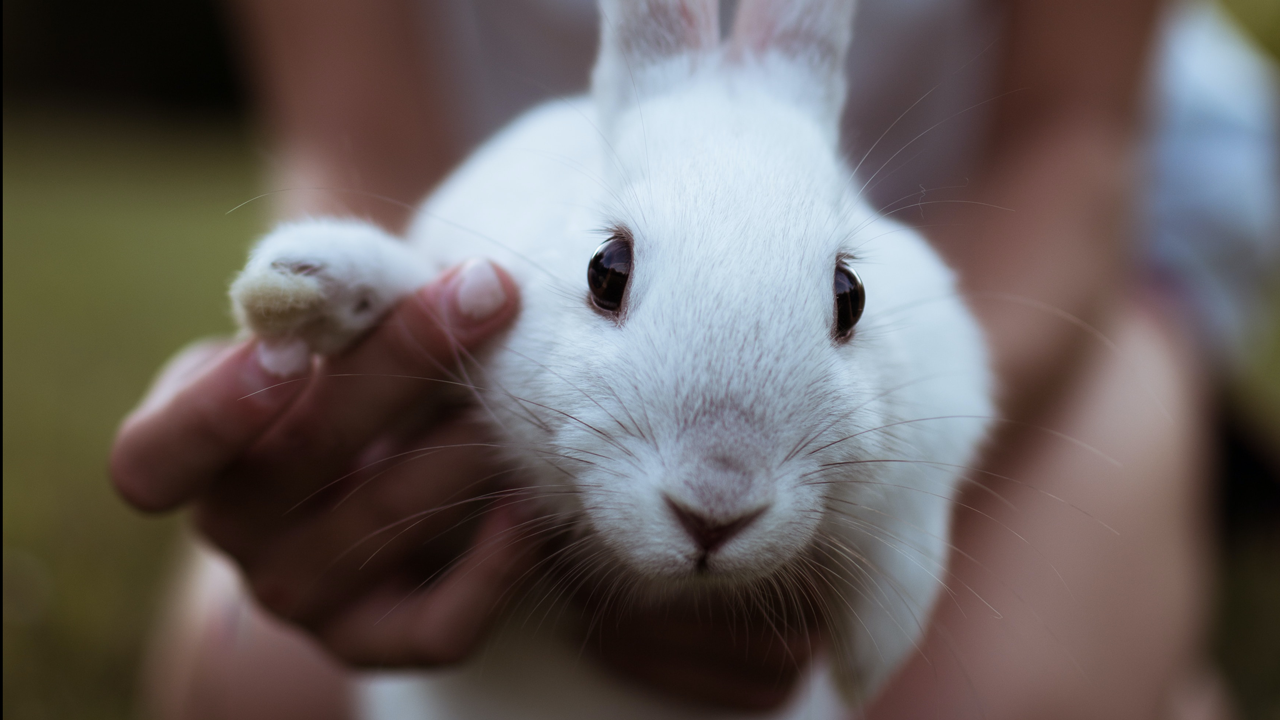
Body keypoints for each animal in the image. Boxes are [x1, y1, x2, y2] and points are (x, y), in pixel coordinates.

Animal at [230, 0, 988, 712]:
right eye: (606, 270)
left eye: (849, 294)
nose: (715, 508)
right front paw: (298, 286)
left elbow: (909, 534)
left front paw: (871, 658)